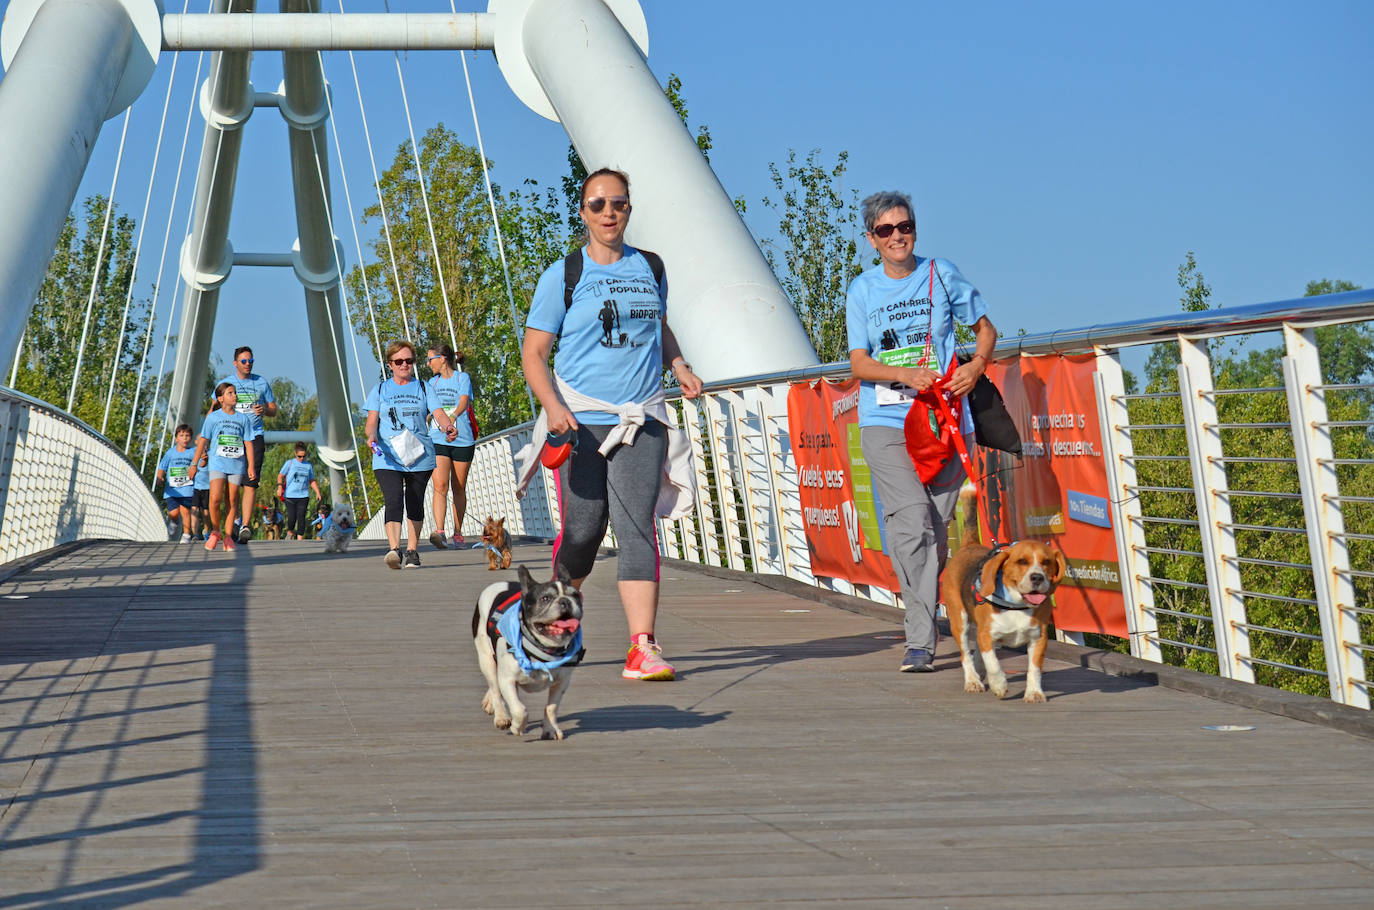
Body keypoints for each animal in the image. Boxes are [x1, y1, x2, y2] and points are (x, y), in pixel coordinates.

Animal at [945, 492, 1071, 703]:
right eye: (1022, 562)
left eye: (1047, 562)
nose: (1037, 577)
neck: (1017, 605)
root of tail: (969, 546)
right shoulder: (987, 635)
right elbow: (993, 664)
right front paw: (999, 685)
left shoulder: (1038, 637)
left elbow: (1034, 669)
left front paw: (1034, 692)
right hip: (959, 621)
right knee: (966, 655)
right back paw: (973, 680)